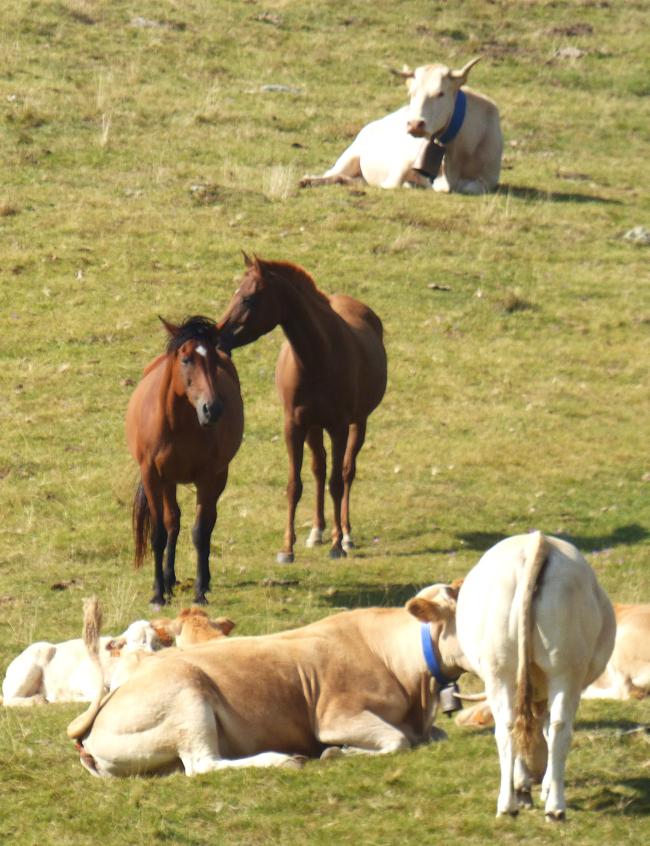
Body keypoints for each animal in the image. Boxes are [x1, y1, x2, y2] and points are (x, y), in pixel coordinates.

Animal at [1, 616, 170, 708]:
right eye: (132, 640)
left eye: (155, 641)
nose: (146, 655)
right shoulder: (82, 678)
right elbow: (100, 694)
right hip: (29, 667)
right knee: (9, 700)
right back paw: (40, 699)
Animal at [69, 588, 466, 780]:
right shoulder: (336, 718)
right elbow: (397, 742)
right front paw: (339, 751)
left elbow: (436, 735)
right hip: (188, 700)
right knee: (204, 764)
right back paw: (283, 760)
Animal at [126, 314, 243, 608]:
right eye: (186, 359)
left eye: (213, 359)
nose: (212, 409)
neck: (176, 423)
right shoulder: (152, 476)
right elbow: (159, 533)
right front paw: (158, 593)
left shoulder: (207, 477)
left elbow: (201, 532)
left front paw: (200, 593)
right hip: (168, 482)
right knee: (172, 522)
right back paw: (168, 582)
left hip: (218, 476)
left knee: (205, 522)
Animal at [215, 255, 384, 568]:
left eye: (247, 298)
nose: (218, 339)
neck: (318, 356)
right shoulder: (294, 426)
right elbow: (295, 486)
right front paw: (287, 549)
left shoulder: (339, 426)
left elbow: (336, 483)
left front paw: (337, 546)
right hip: (313, 428)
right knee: (319, 469)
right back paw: (317, 531)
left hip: (358, 423)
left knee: (346, 472)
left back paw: (345, 535)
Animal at [298, 56, 502, 195]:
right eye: (411, 92)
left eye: (440, 93)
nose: (415, 124)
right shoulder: (398, 169)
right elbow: (396, 184)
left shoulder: (489, 179)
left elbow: (470, 188)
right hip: (350, 156)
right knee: (330, 173)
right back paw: (308, 180)